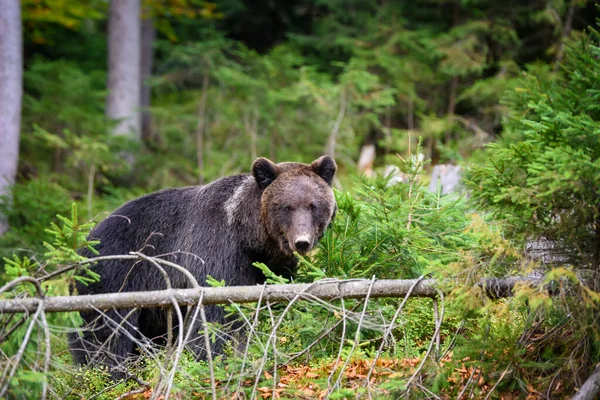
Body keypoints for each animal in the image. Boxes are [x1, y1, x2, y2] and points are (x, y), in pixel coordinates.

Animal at [69, 154, 338, 376]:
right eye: (286, 206)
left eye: (313, 205)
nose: (301, 241)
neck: (251, 237)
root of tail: (84, 244)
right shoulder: (216, 251)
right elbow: (214, 315)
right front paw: (216, 358)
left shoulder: (272, 266)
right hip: (113, 279)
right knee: (105, 335)